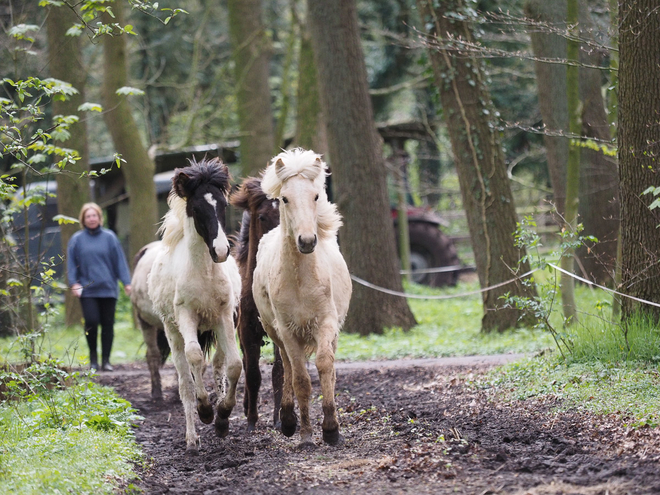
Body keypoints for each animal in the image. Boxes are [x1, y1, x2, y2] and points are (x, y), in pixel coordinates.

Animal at [148, 159, 241, 458]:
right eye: (197, 209)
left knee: (218, 365)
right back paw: (191, 439)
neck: (204, 275)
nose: (221, 251)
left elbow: (234, 365)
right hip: (173, 331)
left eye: (223, 205)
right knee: (185, 378)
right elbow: (194, 359)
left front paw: (222, 416)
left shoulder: (224, 316)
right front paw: (205, 410)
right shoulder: (186, 317)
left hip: (214, 327)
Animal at [254, 148, 354, 450]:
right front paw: (306, 434)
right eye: (285, 198)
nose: (307, 241)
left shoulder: (326, 323)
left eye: (316, 196)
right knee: (286, 366)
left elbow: (324, 365)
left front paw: (331, 429)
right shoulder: (287, 331)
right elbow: (299, 379)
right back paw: (288, 420)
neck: (301, 280)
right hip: (275, 332)